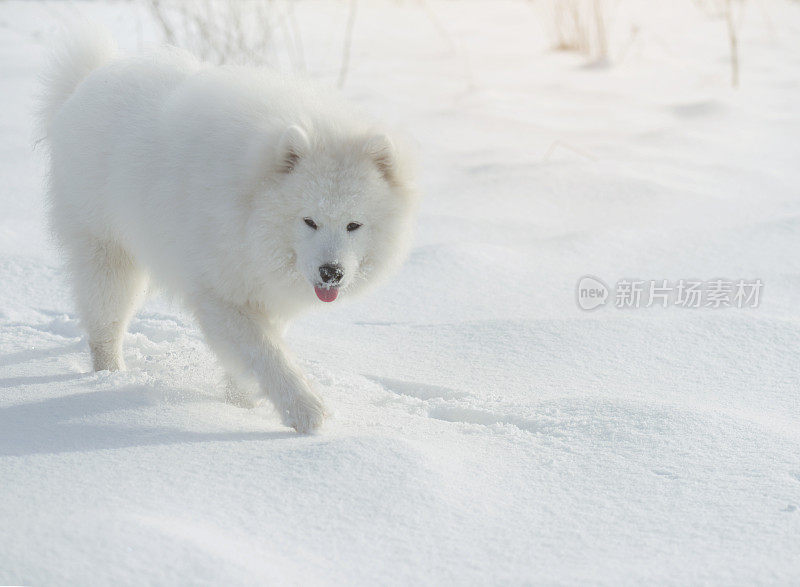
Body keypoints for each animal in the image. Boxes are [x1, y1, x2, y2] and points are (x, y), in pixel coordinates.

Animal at [39, 26, 418, 432]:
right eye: (309, 221)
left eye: (353, 225)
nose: (330, 272)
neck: (249, 214)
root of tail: (87, 81)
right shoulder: (221, 295)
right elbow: (266, 353)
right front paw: (305, 412)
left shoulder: (263, 296)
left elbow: (248, 363)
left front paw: (242, 405)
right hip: (109, 255)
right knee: (105, 325)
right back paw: (108, 378)